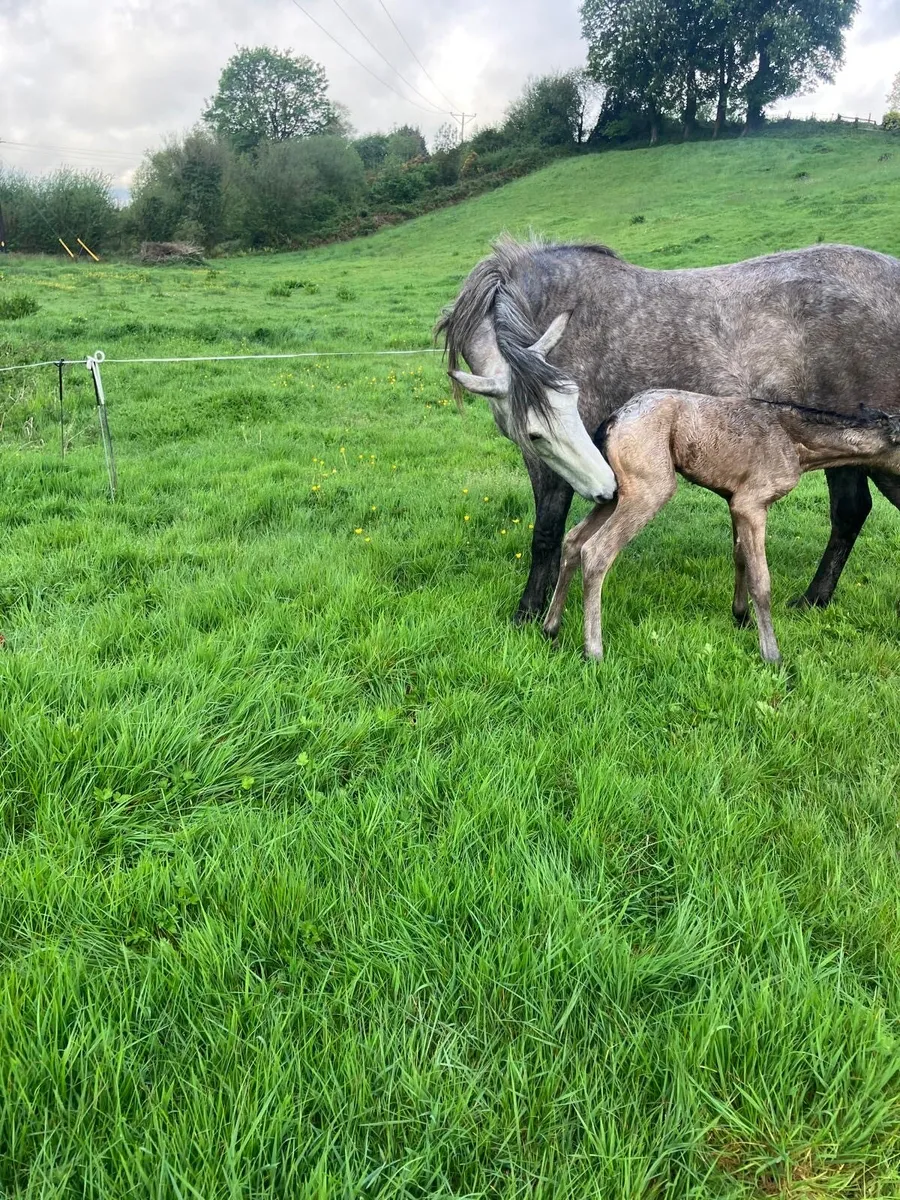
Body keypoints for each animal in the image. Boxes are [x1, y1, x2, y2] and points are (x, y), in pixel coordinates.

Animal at [436, 238, 900, 623]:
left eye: (570, 404)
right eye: (536, 431)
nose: (607, 488)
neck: (549, 305)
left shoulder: (549, 462)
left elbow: (546, 534)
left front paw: (528, 612)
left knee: (850, 512)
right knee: (853, 512)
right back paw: (816, 599)